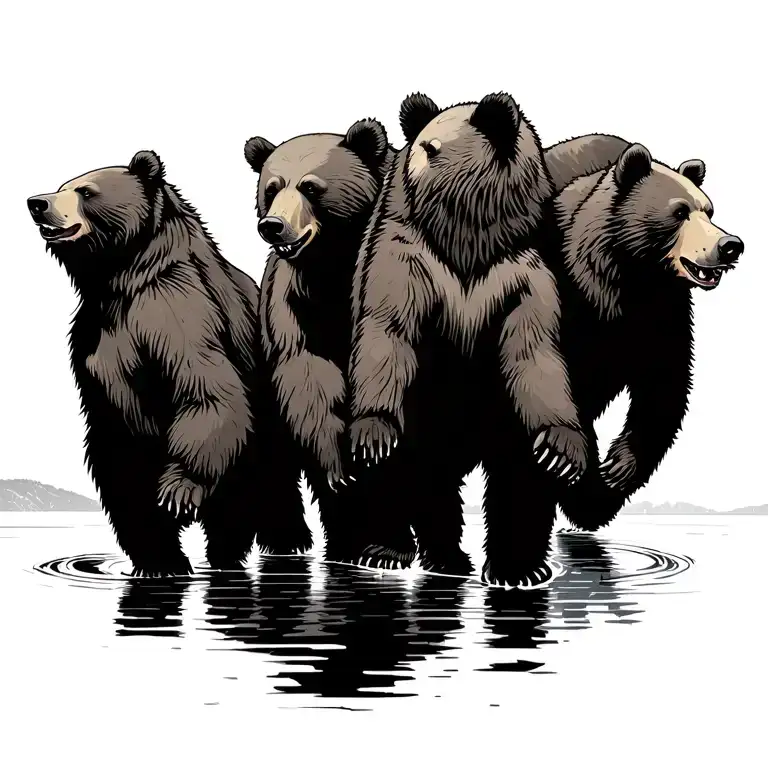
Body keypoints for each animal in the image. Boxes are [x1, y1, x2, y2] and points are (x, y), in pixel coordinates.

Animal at [27, 150, 311, 577]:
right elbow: (121, 465)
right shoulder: (96, 342)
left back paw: (274, 544)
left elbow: (208, 392)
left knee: (260, 482)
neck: (120, 277)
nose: (37, 202)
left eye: (85, 191)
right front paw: (160, 560)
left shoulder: (178, 313)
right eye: (62, 186)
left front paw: (178, 491)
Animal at [243, 119, 395, 563]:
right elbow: (308, 374)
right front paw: (340, 468)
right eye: (271, 188)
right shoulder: (296, 301)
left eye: (311, 187)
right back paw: (295, 539)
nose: (272, 226)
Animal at [345, 91, 590, 587]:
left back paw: (515, 566)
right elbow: (388, 330)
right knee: (408, 466)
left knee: (517, 467)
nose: (413, 163)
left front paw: (562, 451)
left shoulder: (524, 268)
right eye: (422, 144)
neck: (467, 237)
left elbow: (536, 354)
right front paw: (374, 435)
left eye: (435, 148)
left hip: (494, 409)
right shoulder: (408, 256)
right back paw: (390, 549)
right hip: (426, 404)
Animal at [547, 143, 744, 530]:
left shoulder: (663, 316)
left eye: (709, 210)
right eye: (679, 212)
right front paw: (587, 491)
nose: (730, 245)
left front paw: (617, 471)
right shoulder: (568, 301)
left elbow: (663, 386)